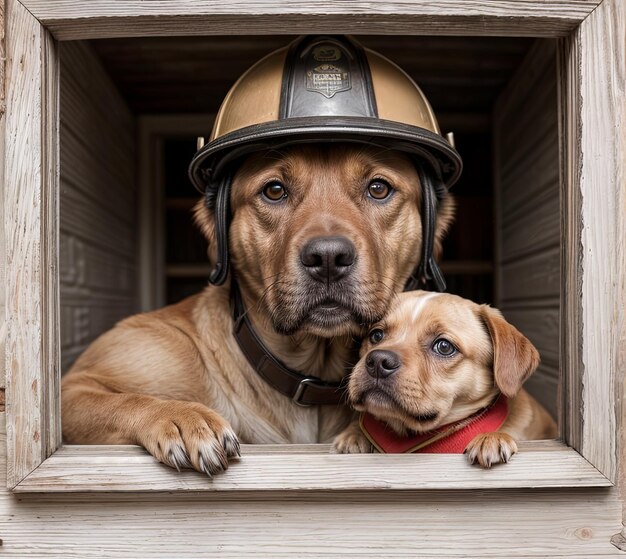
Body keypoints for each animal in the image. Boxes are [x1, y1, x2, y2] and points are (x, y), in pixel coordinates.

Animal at [61, 145, 454, 476]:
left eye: (378, 188)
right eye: (275, 190)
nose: (328, 258)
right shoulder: (77, 386)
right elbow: (126, 401)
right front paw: (181, 416)